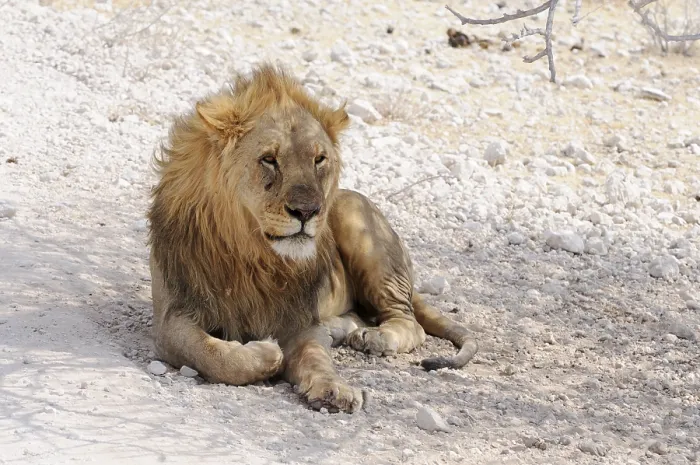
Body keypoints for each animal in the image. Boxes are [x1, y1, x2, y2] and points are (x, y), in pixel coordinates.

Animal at [146, 63, 478, 413]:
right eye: (269, 159)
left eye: (319, 160)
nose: (307, 211)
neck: (251, 254)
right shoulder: (171, 319)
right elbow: (211, 354)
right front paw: (266, 352)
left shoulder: (300, 320)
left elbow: (316, 357)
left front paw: (334, 389)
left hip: (355, 218)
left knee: (409, 320)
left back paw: (375, 337)